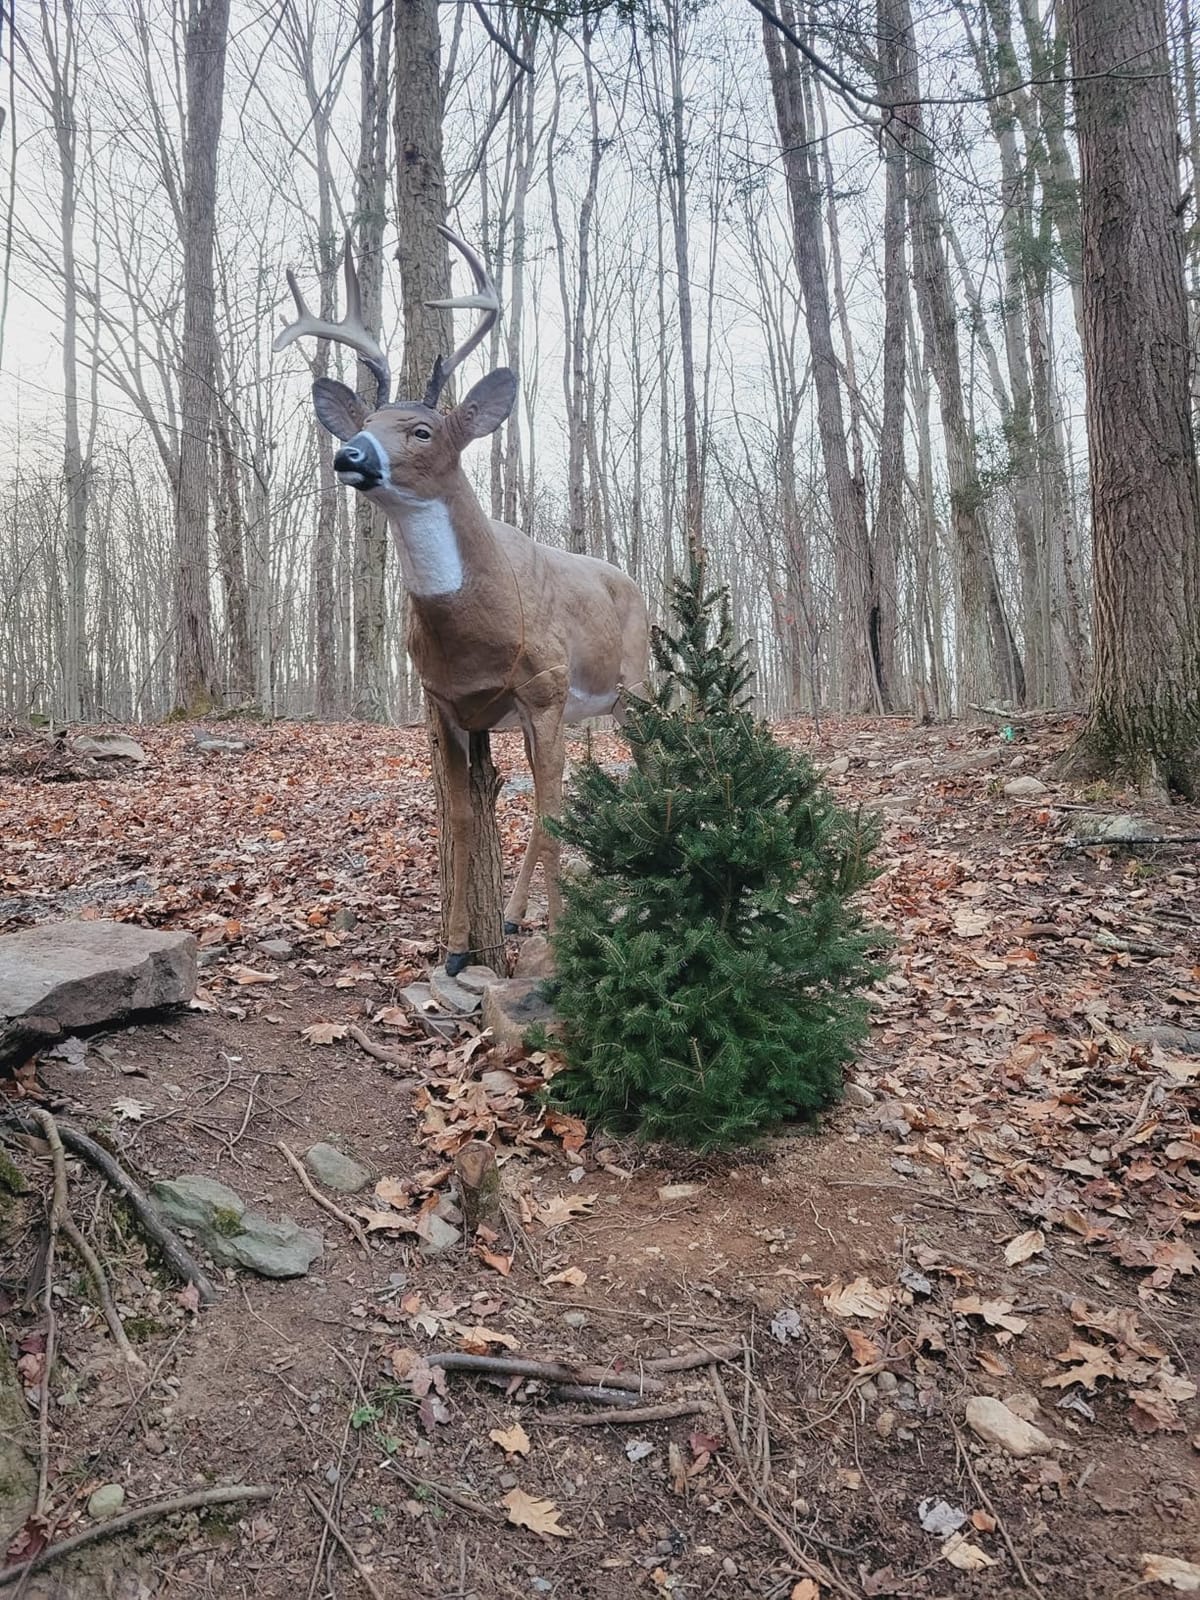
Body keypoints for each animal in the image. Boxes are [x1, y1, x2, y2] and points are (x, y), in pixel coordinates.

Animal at [275, 228, 649, 976]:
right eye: (368, 418)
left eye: (422, 429)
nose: (349, 453)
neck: (479, 626)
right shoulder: (442, 702)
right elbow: (461, 815)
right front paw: (451, 950)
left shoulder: (543, 688)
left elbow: (548, 811)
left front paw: (563, 943)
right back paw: (512, 916)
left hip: (638, 680)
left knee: (643, 764)